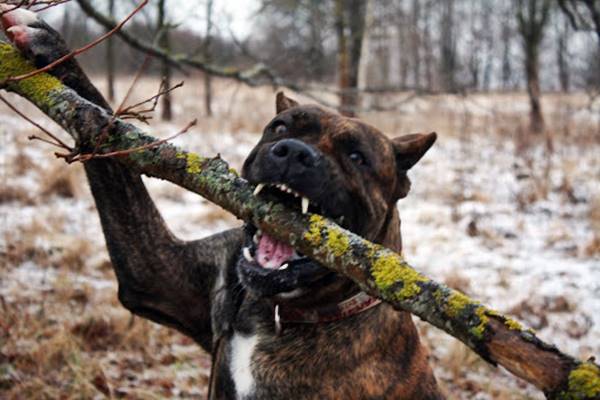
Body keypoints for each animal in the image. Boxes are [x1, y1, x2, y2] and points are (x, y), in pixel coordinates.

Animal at [2, 7, 442, 400]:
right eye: (279, 127)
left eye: (357, 157)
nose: (293, 152)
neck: (277, 314)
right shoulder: (156, 270)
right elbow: (102, 128)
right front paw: (51, 47)